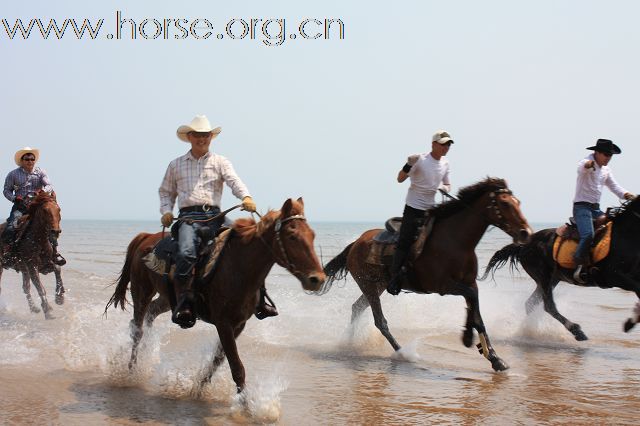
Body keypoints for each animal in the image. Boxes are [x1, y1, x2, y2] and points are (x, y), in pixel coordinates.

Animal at [106, 198, 324, 394]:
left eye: (313, 235)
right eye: (292, 236)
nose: (317, 279)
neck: (238, 266)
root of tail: (145, 237)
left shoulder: (239, 324)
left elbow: (218, 361)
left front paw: (197, 389)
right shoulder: (223, 323)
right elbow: (236, 368)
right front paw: (246, 407)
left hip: (168, 299)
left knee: (150, 314)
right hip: (141, 291)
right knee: (137, 328)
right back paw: (131, 372)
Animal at [318, 178, 532, 372]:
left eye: (518, 202)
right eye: (505, 203)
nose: (526, 232)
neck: (456, 242)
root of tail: (355, 244)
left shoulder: (470, 283)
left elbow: (478, 316)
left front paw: (494, 358)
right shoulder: (443, 285)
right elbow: (472, 303)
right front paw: (468, 337)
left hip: (376, 286)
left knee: (357, 308)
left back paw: (349, 343)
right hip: (369, 285)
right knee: (380, 321)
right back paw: (403, 353)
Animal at [482, 196, 640, 340]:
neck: (625, 235)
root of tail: (523, 246)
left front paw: (631, 322)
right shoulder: (614, 275)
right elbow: (638, 289)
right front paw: (630, 322)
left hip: (552, 279)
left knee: (531, 303)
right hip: (543, 277)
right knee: (548, 306)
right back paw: (577, 331)